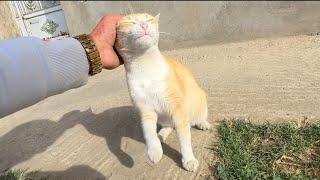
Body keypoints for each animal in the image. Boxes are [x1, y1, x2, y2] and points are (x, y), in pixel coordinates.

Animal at [114, 13, 211, 172]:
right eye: (130, 21)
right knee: (168, 125)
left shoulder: (178, 110)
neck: (145, 67)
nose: (144, 25)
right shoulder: (146, 110)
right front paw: (154, 150)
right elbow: (148, 133)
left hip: (199, 98)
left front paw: (188, 159)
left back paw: (203, 123)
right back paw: (161, 135)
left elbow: (184, 139)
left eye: (148, 19)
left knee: (196, 118)